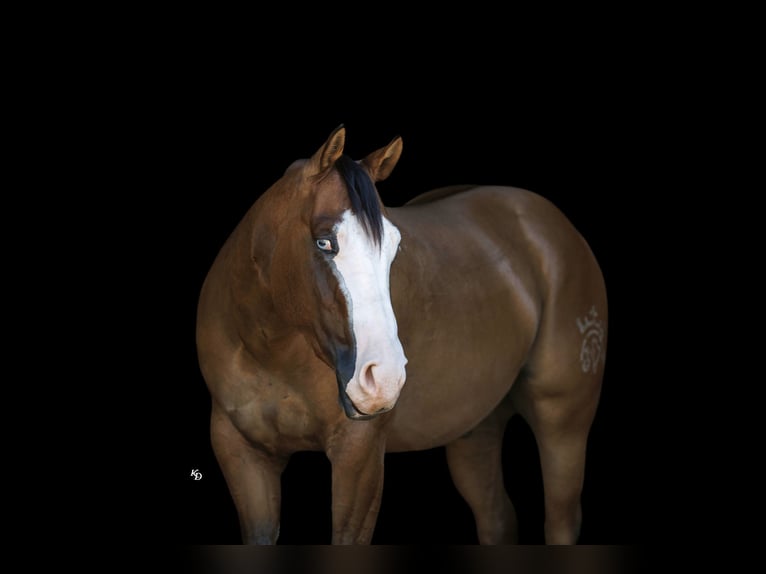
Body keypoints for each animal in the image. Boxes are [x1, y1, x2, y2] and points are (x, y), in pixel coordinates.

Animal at [196, 125, 608, 545]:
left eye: (393, 246)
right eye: (324, 241)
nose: (384, 380)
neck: (271, 350)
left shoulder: (358, 455)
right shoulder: (241, 453)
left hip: (563, 423)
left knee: (560, 519)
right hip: (476, 430)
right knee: (498, 518)